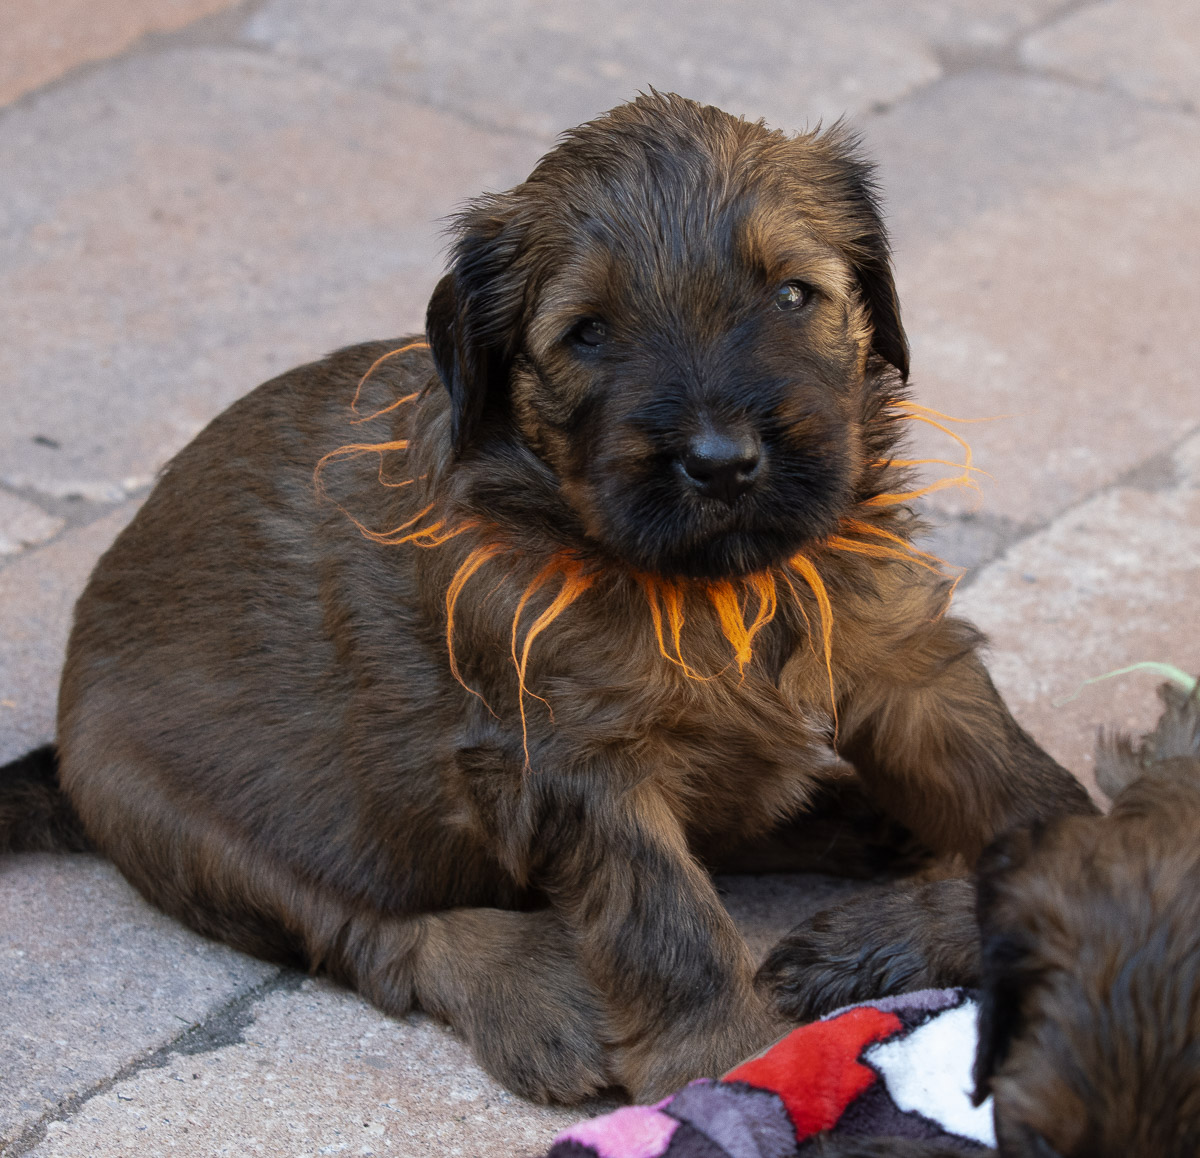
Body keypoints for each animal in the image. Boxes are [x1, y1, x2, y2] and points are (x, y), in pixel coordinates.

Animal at [1, 92, 1094, 1104]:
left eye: (793, 294)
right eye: (589, 334)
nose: (720, 460)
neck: (716, 587)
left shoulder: (906, 659)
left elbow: (1019, 784)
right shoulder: (573, 760)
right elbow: (667, 921)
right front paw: (726, 1064)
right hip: (194, 832)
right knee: (370, 934)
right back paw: (536, 991)